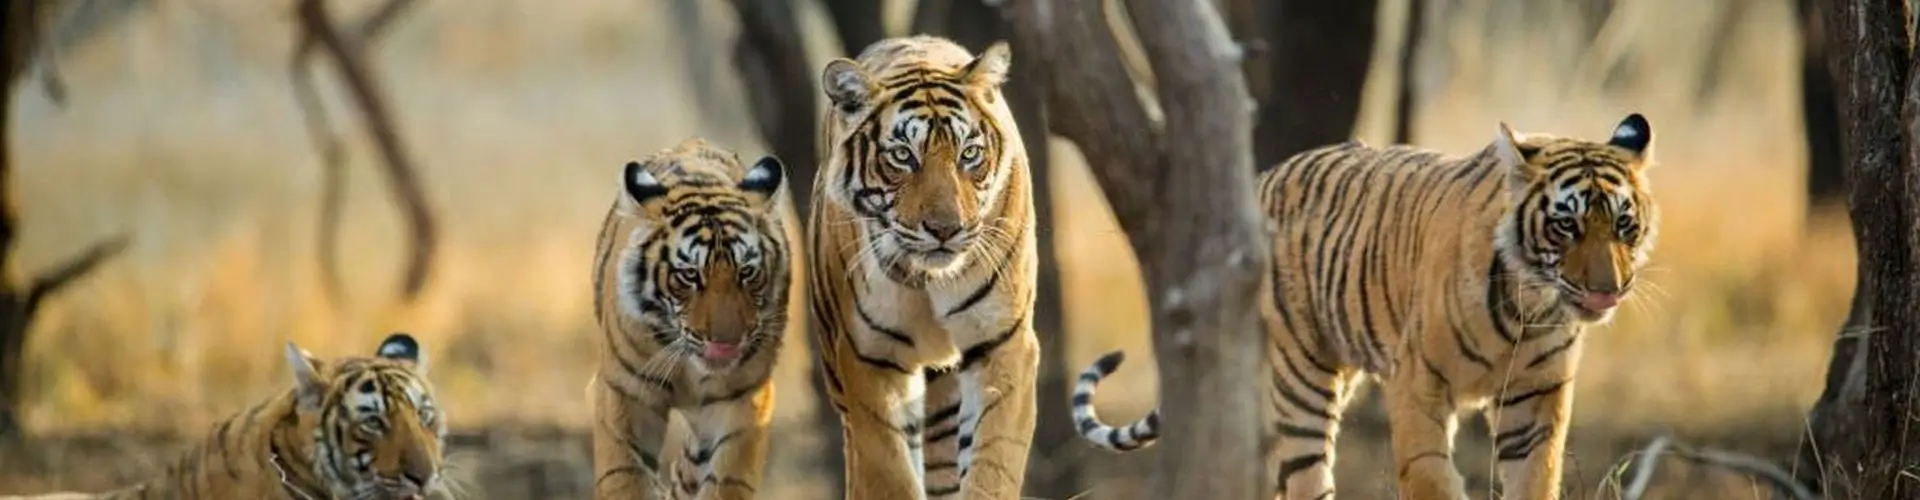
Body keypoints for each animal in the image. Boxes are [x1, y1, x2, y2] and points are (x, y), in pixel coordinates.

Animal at [588, 138, 801, 500]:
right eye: (689, 275)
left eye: (747, 272)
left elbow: (727, 477)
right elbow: (625, 475)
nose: (727, 342)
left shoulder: (743, 397)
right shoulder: (625, 391)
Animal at [808, 35, 1040, 499]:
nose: (945, 229)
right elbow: (888, 471)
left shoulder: (1002, 342)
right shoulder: (870, 357)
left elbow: (994, 460)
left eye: (970, 154)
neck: (929, 279)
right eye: (902, 156)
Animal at [1070, 114, 1661, 500]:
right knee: (1304, 475)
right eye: (1567, 225)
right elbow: (1429, 476)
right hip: (1300, 379)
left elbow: (1534, 477)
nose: (1608, 289)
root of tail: (1261, 179)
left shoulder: (1536, 396)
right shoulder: (1418, 382)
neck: (1530, 309)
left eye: (1624, 225)